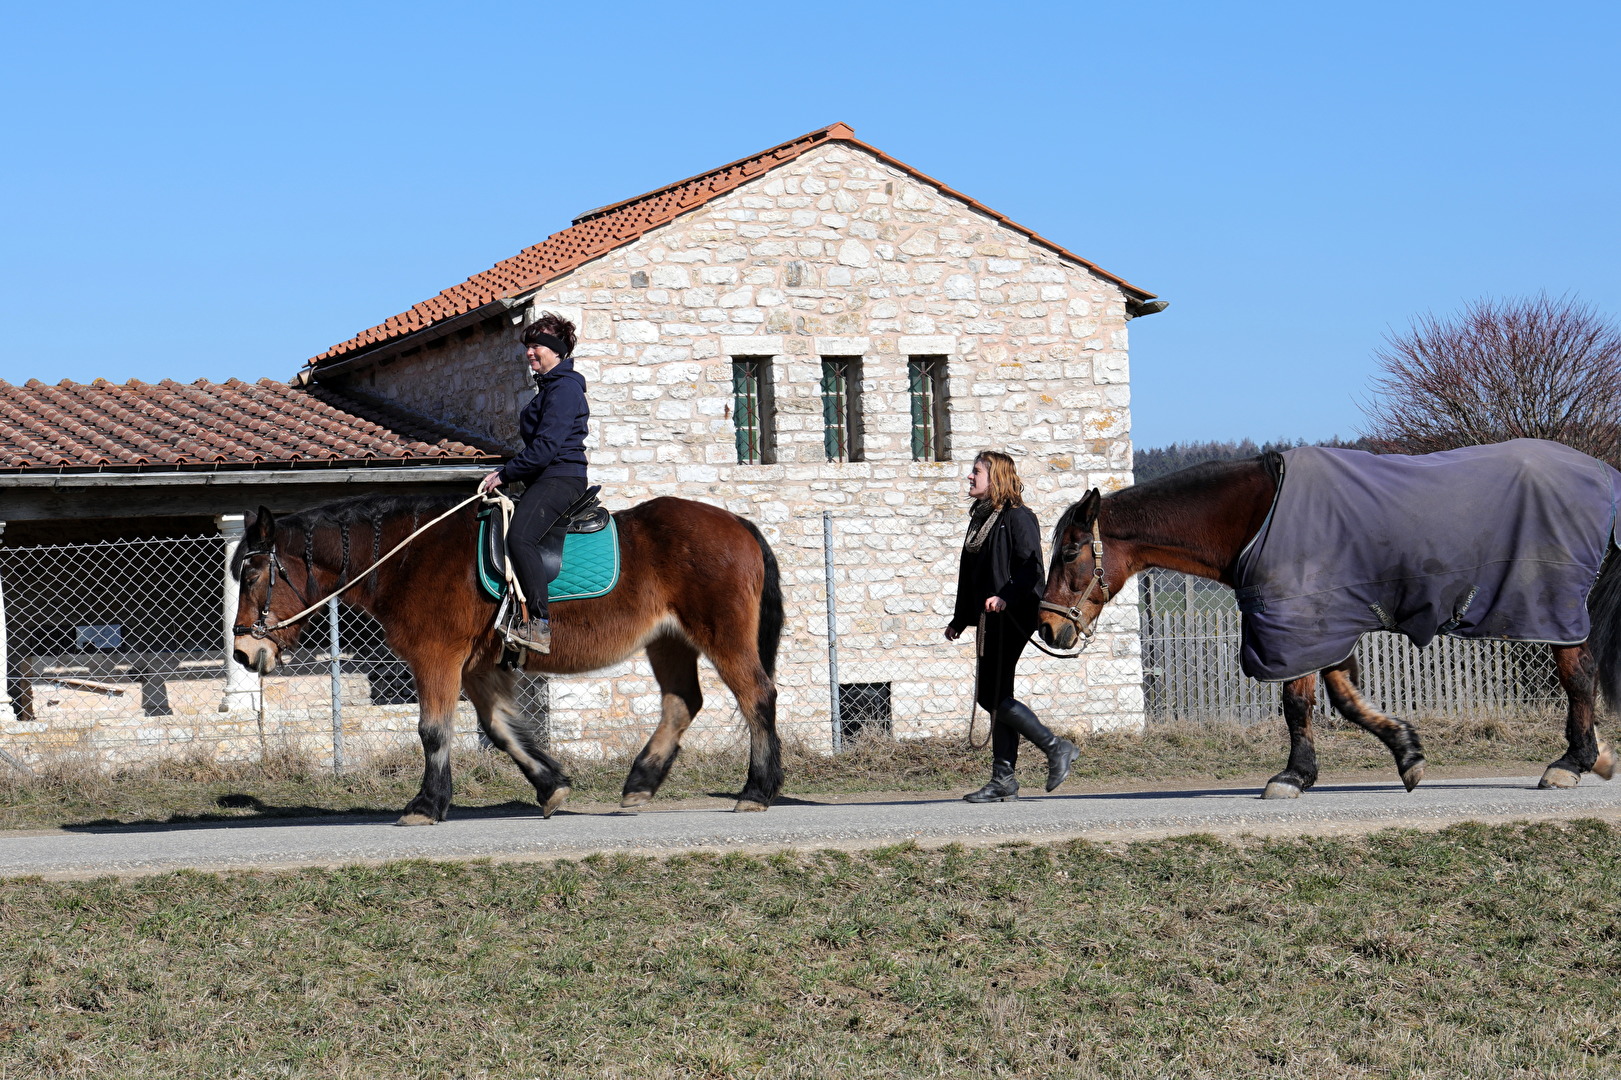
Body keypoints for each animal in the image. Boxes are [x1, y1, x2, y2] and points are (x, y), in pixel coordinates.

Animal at [228, 493, 784, 823]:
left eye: (252, 574)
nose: (242, 651)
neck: (408, 558)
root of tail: (736, 522)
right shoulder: (477, 667)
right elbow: (502, 730)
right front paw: (551, 786)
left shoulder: (437, 658)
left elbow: (433, 731)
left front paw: (427, 804)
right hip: (668, 640)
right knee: (681, 703)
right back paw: (640, 784)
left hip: (721, 634)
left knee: (756, 696)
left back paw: (757, 790)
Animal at [1039, 445, 1620, 799]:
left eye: (1068, 552)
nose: (1048, 628)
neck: (1257, 517)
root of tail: (1603, 475)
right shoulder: (1325, 626)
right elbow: (1345, 698)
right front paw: (1406, 751)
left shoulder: (1295, 625)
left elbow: (1297, 704)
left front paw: (1294, 775)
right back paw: (1595, 758)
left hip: (1553, 608)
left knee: (1579, 675)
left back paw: (1572, 762)